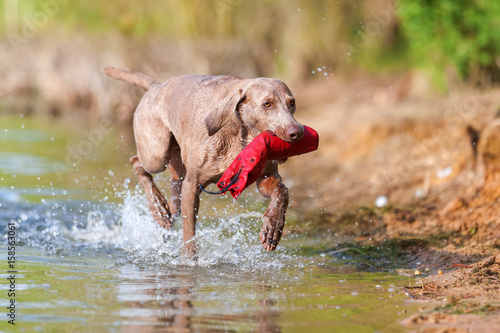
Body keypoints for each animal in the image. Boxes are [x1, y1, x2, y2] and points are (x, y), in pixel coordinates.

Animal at [103, 66, 302, 255]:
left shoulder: (265, 176)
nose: (297, 132)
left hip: (176, 169)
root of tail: (156, 86)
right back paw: (158, 208)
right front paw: (189, 260)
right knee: (136, 161)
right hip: (156, 154)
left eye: (292, 103)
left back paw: (164, 213)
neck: (239, 135)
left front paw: (273, 227)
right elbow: (189, 233)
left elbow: (282, 191)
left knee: (173, 204)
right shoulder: (192, 185)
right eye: (267, 104)